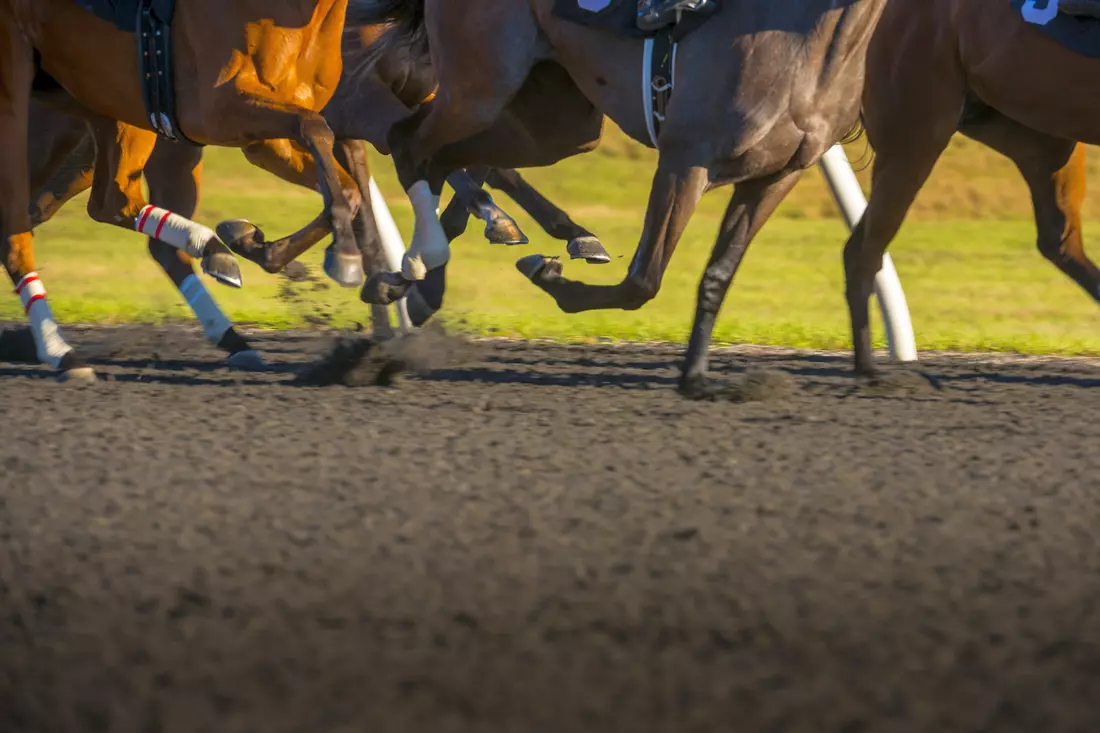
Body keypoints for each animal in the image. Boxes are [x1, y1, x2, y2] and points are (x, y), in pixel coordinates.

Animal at [356, 0, 888, 396]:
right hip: (481, 86)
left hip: (560, 124)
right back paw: (419, 263)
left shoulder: (776, 177)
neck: (809, 34)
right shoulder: (686, 158)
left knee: (444, 157)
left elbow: (718, 274)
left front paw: (696, 377)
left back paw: (410, 280)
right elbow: (642, 281)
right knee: (408, 142)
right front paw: (551, 278)